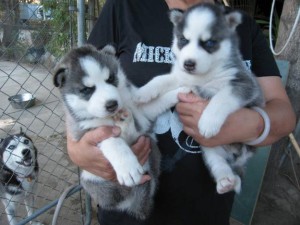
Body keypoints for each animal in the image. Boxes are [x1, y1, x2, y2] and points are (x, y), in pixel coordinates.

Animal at [51, 44, 188, 220]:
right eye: (87, 90)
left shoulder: (142, 114)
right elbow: (113, 140)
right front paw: (128, 167)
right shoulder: (86, 131)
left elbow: (159, 101)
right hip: (91, 178)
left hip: (151, 149)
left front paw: (182, 90)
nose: (112, 104)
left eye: (110, 79)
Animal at [135, 2, 264, 194]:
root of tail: (235, 155)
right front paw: (144, 92)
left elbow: (222, 98)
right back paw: (225, 181)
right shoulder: (180, 77)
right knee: (217, 162)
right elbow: (161, 79)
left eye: (209, 43)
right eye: (183, 40)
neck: (203, 76)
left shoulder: (244, 84)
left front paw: (208, 122)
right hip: (210, 149)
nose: (188, 64)